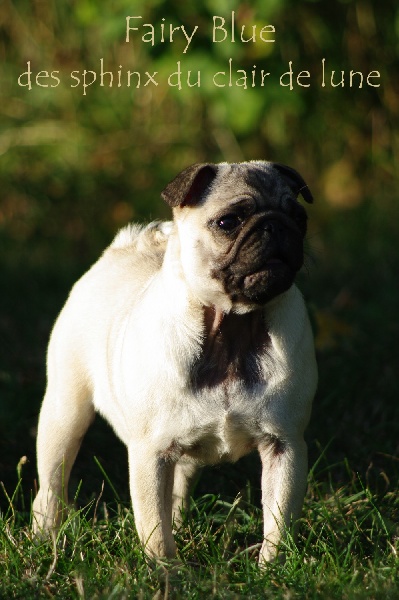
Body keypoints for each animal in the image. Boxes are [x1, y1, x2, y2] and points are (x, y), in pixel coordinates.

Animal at [32, 159, 318, 564]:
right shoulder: (150, 454)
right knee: (52, 484)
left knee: (177, 493)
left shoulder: (285, 446)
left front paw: (271, 569)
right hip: (64, 412)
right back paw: (45, 537)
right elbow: (153, 524)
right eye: (228, 222)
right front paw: (165, 569)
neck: (232, 329)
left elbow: (278, 522)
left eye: (299, 217)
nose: (276, 224)